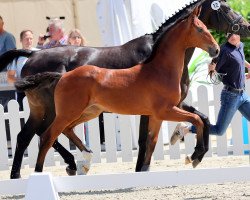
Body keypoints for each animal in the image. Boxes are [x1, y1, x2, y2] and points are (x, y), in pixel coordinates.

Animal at [0, 0, 249, 178]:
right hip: (63, 112)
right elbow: (196, 121)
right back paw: (41, 173)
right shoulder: (165, 110)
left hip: (87, 112)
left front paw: (148, 168)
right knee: (46, 136)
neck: (159, 69)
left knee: (48, 133)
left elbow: (153, 141)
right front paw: (194, 156)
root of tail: (61, 76)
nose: (216, 49)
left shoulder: (158, 114)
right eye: (199, 29)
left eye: (206, 27)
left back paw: (82, 160)